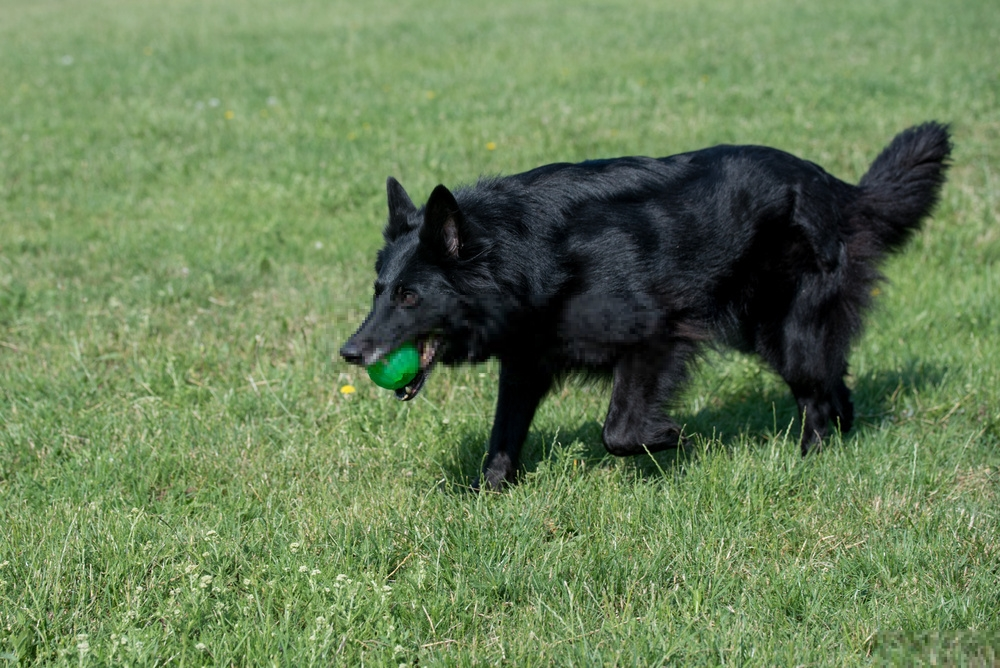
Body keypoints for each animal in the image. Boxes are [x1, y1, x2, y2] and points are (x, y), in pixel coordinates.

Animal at [342, 124, 952, 490]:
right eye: (378, 289)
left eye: (410, 296)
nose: (350, 352)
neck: (530, 255)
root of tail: (839, 189)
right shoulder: (526, 365)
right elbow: (502, 437)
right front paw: (490, 496)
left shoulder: (655, 339)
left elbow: (617, 432)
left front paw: (674, 439)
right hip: (773, 335)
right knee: (833, 386)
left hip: (790, 333)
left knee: (818, 399)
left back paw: (810, 463)